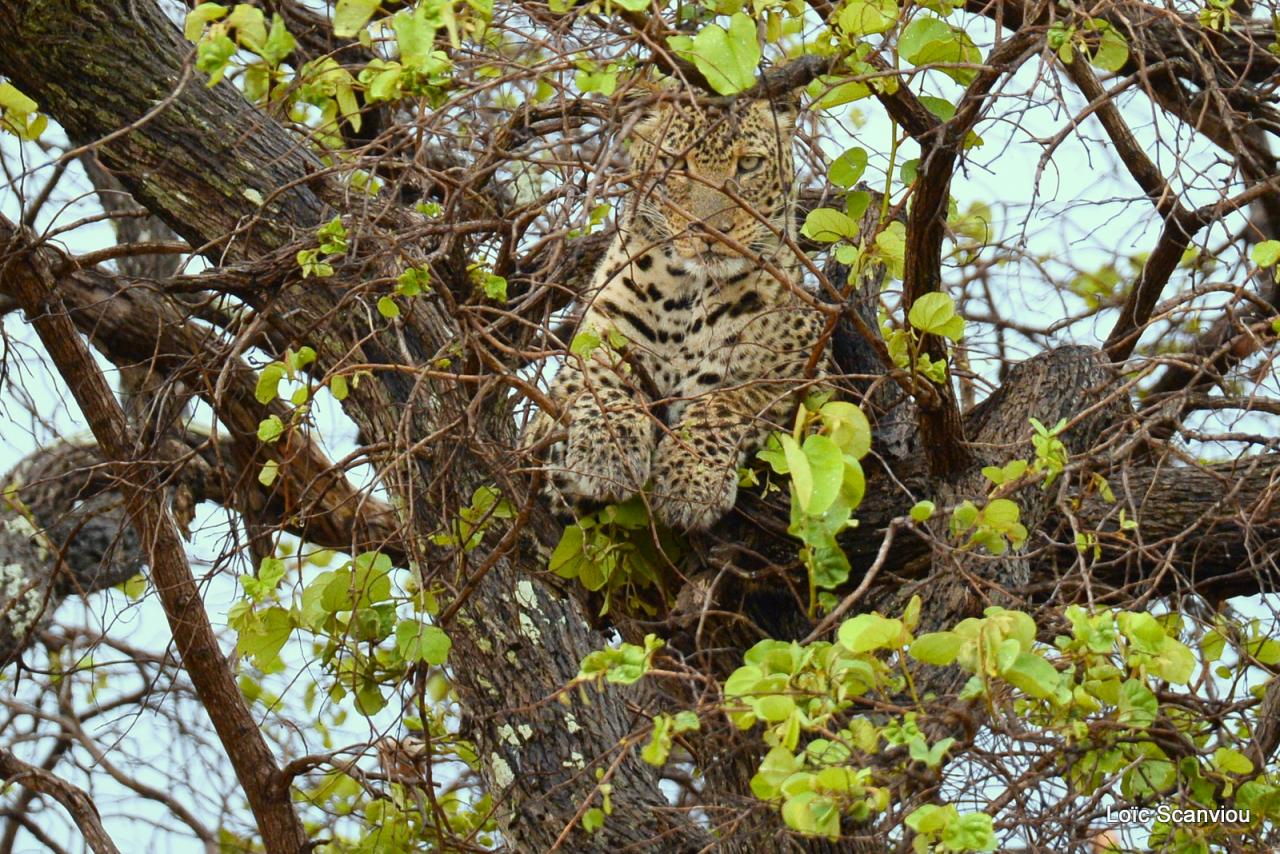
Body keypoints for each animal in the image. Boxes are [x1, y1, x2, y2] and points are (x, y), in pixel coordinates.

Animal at [519, 95, 829, 535]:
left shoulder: (808, 361)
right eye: (678, 165)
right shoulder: (599, 335)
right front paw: (606, 451)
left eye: (749, 164)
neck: (688, 291)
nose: (711, 230)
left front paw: (691, 479)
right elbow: (599, 378)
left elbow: (730, 401)